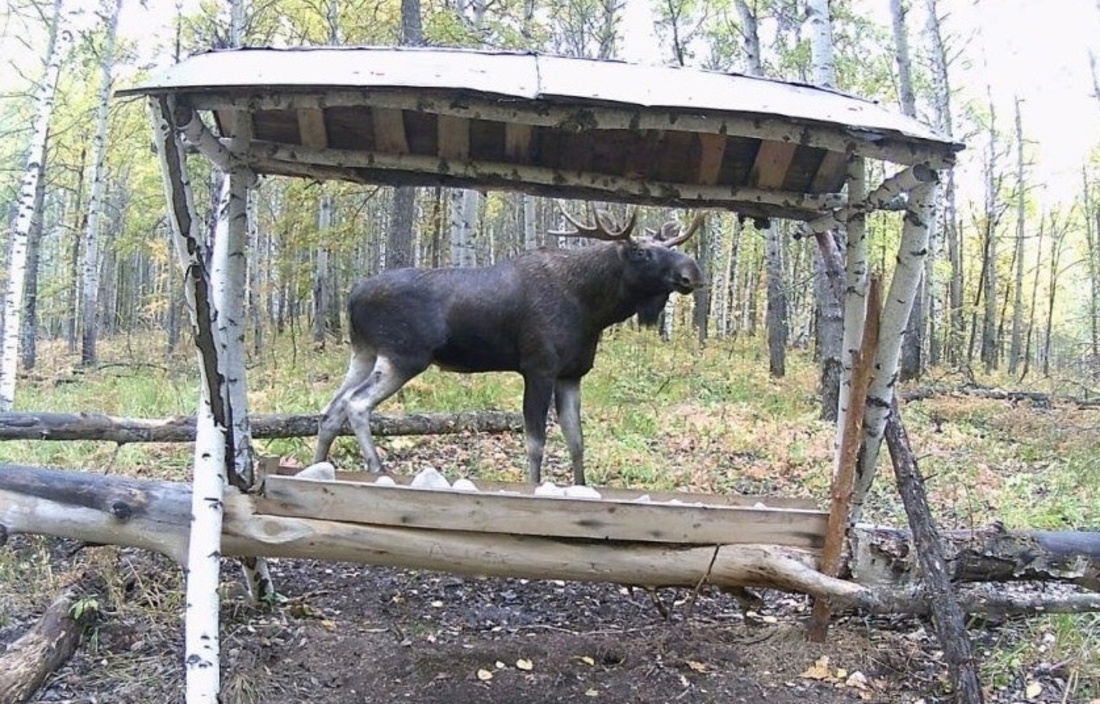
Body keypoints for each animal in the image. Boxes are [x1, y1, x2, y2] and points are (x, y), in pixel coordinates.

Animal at [314, 206, 704, 486]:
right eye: (640, 252)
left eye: (670, 247)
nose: (693, 273)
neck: (592, 309)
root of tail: (351, 297)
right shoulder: (538, 367)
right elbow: (536, 444)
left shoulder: (572, 374)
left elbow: (577, 442)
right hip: (403, 356)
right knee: (356, 404)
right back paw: (377, 469)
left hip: (364, 353)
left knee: (331, 409)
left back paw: (317, 467)